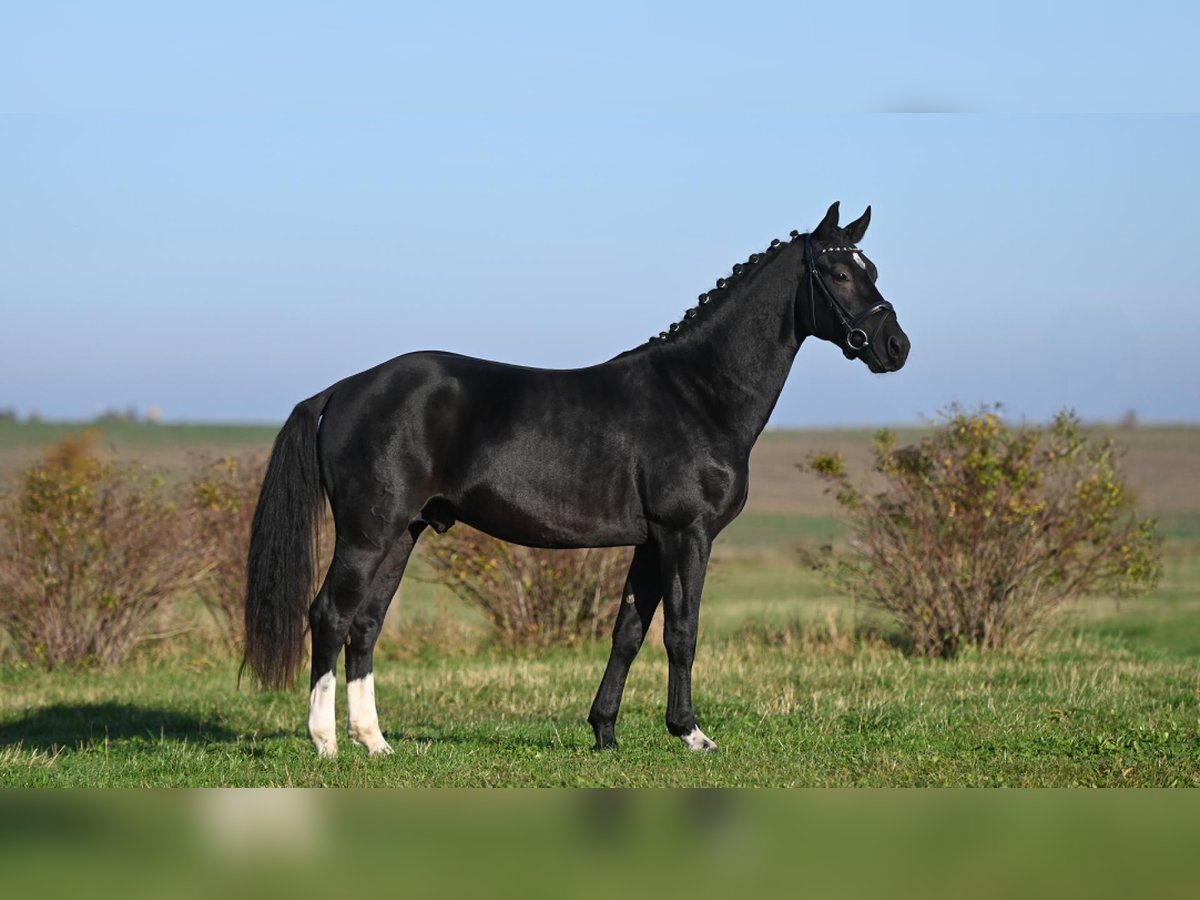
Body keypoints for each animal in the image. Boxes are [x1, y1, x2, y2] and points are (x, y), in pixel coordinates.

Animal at [243, 200, 907, 758]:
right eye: (838, 273)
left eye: (871, 268)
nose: (894, 346)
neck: (697, 394)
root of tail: (343, 390)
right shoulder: (685, 533)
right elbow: (682, 633)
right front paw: (691, 733)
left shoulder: (649, 541)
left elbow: (628, 632)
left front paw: (605, 733)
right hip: (367, 533)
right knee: (330, 614)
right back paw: (326, 743)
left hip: (403, 532)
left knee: (366, 625)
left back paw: (375, 742)